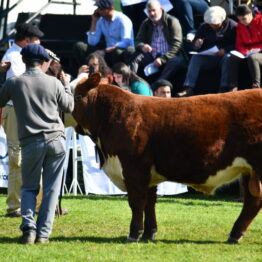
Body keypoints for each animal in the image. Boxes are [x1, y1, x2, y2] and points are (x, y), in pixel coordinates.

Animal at [71, 72, 262, 243]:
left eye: (76, 95)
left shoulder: (134, 168)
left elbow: (136, 202)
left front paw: (133, 235)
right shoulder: (147, 173)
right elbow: (149, 202)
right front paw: (149, 234)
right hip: (249, 171)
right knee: (252, 201)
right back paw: (235, 235)